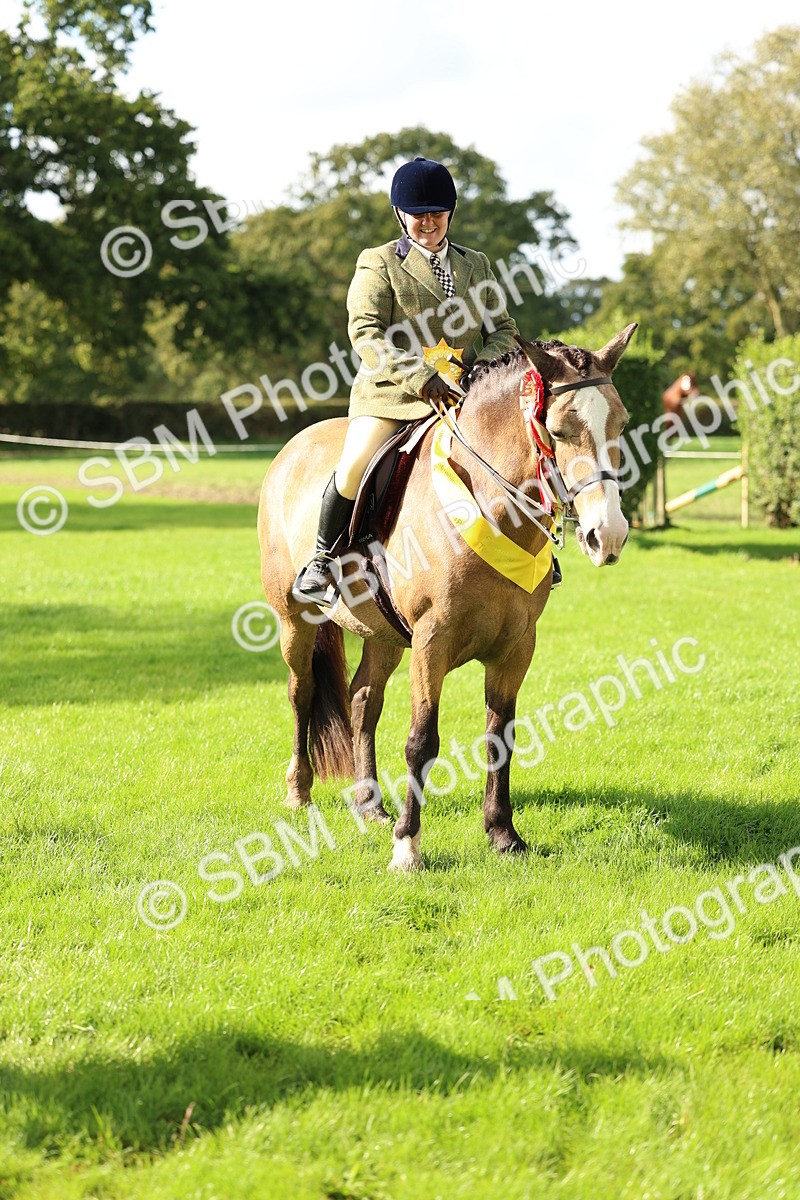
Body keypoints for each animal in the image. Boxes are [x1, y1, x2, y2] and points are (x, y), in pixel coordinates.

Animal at [258, 324, 637, 871]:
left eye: (622, 424)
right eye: (561, 430)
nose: (606, 536)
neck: (491, 504)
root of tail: (294, 446)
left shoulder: (516, 646)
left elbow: (501, 735)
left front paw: (503, 834)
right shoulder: (431, 641)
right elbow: (422, 741)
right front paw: (407, 848)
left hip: (383, 634)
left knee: (362, 700)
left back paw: (369, 804)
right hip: (295, 620)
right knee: (301, 692)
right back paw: (299, 792)